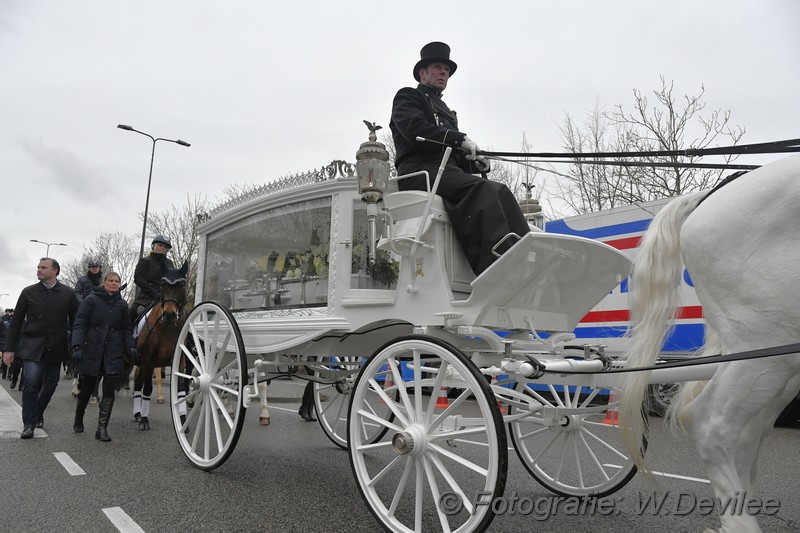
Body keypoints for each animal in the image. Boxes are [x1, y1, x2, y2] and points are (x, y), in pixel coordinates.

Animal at [135, 260, 191, 430]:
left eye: (182, 285)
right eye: (162, 285)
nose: (169, 314)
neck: (167, 327)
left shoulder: (180, 359)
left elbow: (180, 387)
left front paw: (183, 419)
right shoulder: (148, 359)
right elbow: (147, 387)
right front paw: (145, 420)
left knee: (137, 383)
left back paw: (137, 414)